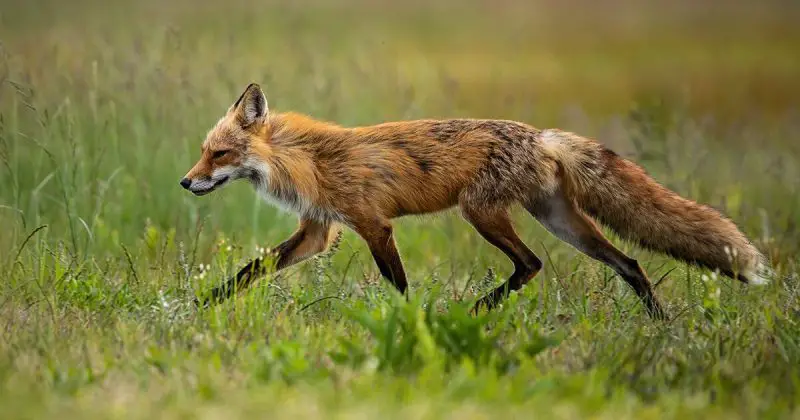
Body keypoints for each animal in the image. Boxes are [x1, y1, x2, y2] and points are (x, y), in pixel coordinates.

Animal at [180, 83, 771, 319]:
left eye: (219, 154)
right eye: (204, 152)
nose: (186, 183)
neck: (309, 160)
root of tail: (541, 136)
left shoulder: (374, 225)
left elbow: (398, 285)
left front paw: (414, 324)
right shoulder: (318, 232)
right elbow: (251, 271)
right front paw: (200, 306)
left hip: (481, 213)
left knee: (530, 266)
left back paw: (476, 310)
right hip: (559, 221)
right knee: (628, 263)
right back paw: (660, 325)